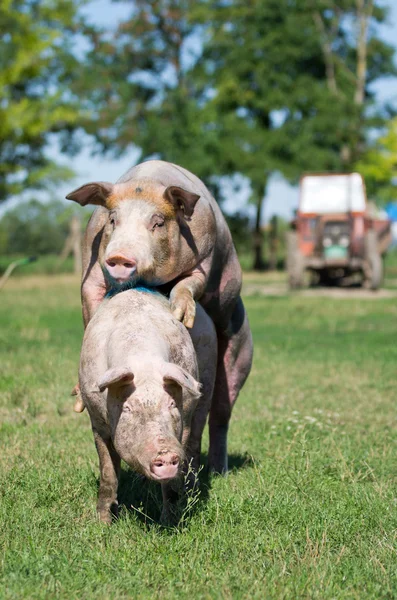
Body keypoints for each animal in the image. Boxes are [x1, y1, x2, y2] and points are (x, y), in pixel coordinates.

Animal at [64, 158, 251, 474]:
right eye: (113, 219)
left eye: (158, 222)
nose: (120, 256)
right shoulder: (90, 265)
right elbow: (90, 299)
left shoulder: (205, 255)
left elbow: (191, 282)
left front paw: (181, 314)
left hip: (241, 345)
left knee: (221, 413)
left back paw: (218, 470)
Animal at [79, 288, 217, 524]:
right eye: (127, 408)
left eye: (171, 404)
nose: (165, 453)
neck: (142, 359)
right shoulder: (96, 419)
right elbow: (108, 473)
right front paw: (103, 523)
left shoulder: (184, 418)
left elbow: (171, 486)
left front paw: (169, 522)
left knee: (196, 442)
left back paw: (192, 489)